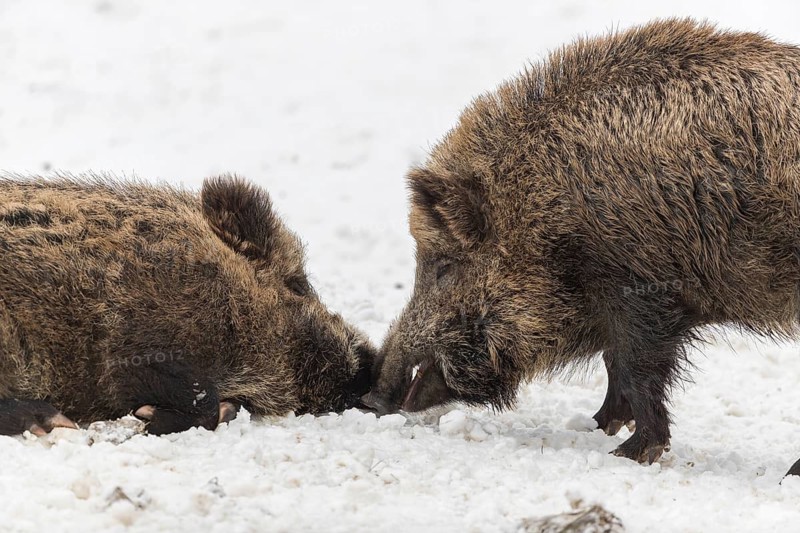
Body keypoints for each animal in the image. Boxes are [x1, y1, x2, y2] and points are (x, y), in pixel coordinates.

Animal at [0, 173, 374, 435]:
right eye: (297, 283)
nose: (371, 361)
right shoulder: (133, 348)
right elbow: (201, 397)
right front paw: (144, 420)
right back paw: (50, 422)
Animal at [363, 18, 800, 474]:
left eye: (444, 265)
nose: (371, 396)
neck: (543, 211)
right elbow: (614, 362)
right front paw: (598, 426)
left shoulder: (641, 290)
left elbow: (636, 368)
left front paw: (630, 453)